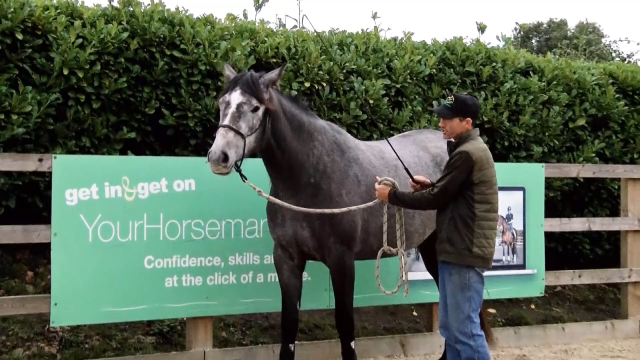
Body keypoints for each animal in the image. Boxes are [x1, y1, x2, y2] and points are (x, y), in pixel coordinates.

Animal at [208, 63, 492, 358]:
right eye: (222, 103)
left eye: (255, 108)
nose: (218, 156)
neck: (311, 176)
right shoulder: (286, 259)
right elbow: (289, 324)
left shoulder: (342, 260)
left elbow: (345, 323)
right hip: (430, 247)